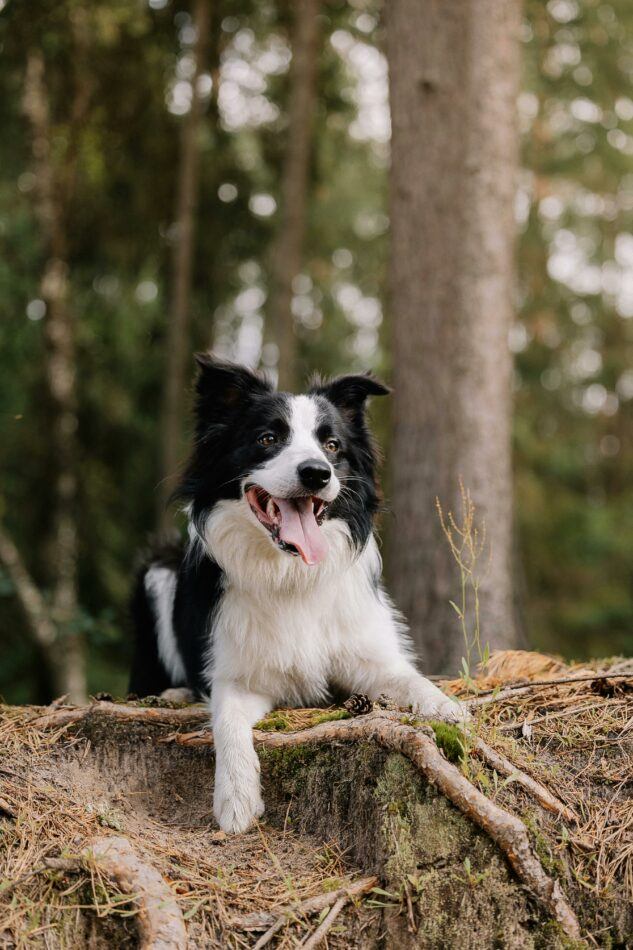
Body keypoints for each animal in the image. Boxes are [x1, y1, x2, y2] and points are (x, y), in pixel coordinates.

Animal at [130, 356, 464, 832]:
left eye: (332, 445)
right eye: (268, 439)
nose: (317, 473)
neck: (290, 574)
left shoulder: (369, 658)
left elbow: (410, 679)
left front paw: (445, 707)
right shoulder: (239, 678)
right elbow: (227, 722)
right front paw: (235, 798)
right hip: (156, 571)